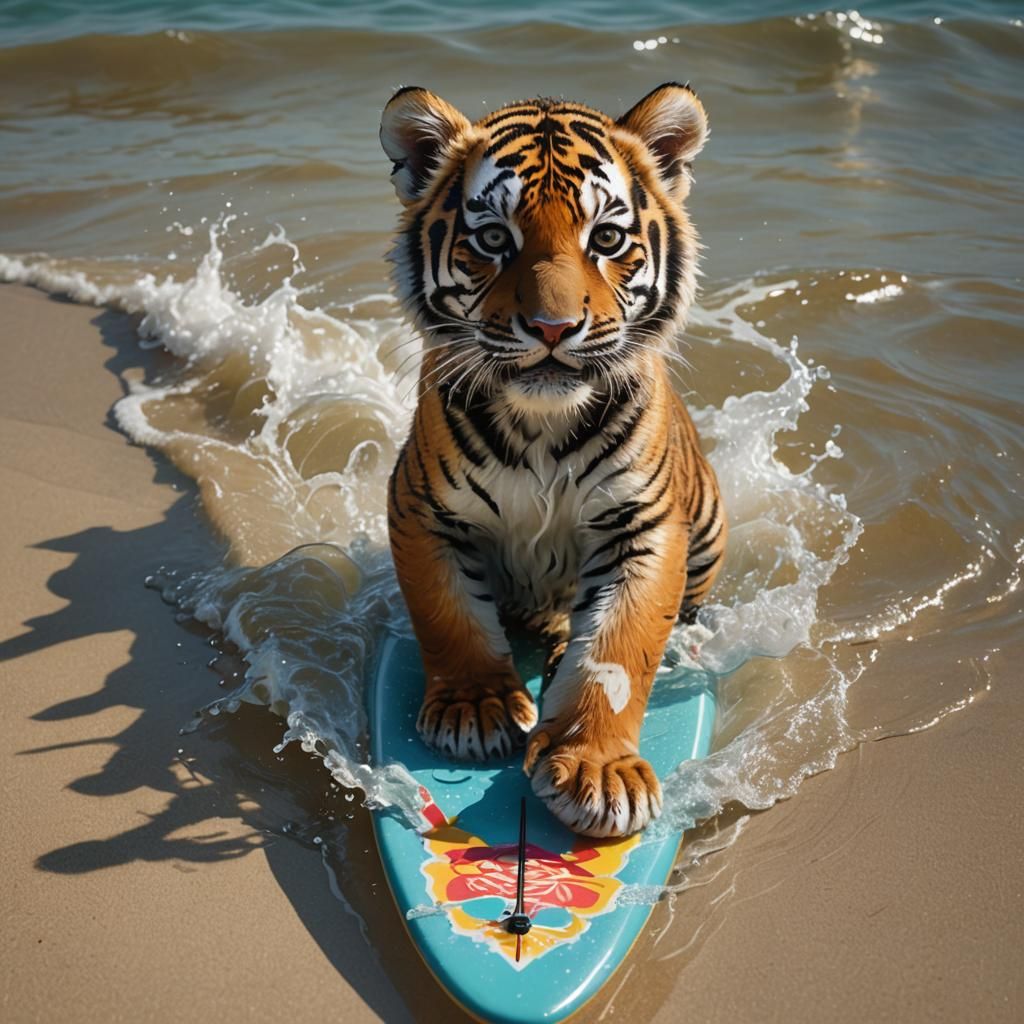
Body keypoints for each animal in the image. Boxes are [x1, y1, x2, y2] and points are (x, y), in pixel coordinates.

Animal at [380, 82, 726, 838]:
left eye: (606, 239)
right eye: (492, 239)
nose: (552, 328)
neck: (542, 422)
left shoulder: (643, 527)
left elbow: (619, 649)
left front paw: (598, 770)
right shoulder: (423, 510)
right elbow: (448, 615)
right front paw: (475, 708)